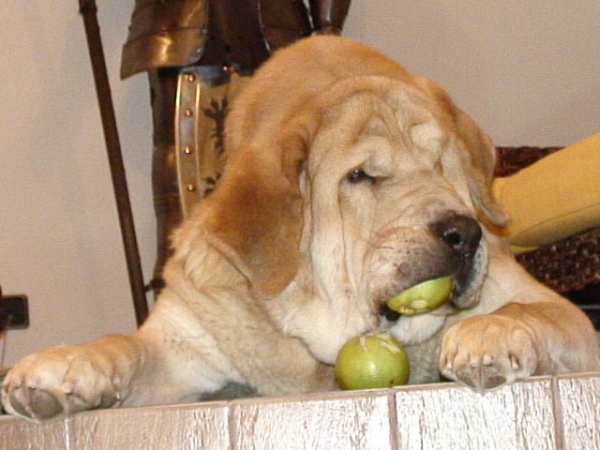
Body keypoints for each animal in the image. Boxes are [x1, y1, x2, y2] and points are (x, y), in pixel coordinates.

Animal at [2, 36, 596, 422]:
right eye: (360, 176)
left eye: (441, 163)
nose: (463, 233)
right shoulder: (181, 344)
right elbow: (123, 343)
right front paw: (59, 366)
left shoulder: (563, 317)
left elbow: (530, 311)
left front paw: (490, 333)